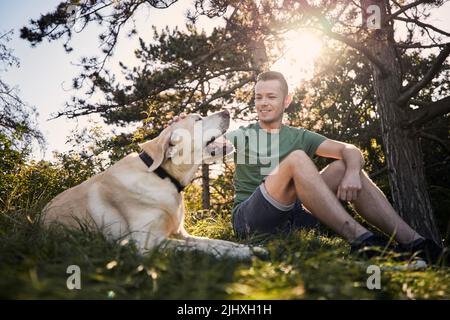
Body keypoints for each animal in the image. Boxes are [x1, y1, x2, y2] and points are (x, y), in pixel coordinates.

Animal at [43, 110, 264, 260]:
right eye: (198, 119)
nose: (226, 111)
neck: (163, 176)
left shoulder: (181, 233)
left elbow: (217, 242)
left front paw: (251, 248)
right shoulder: (147, 243)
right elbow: (206, 248)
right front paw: (245, 254)